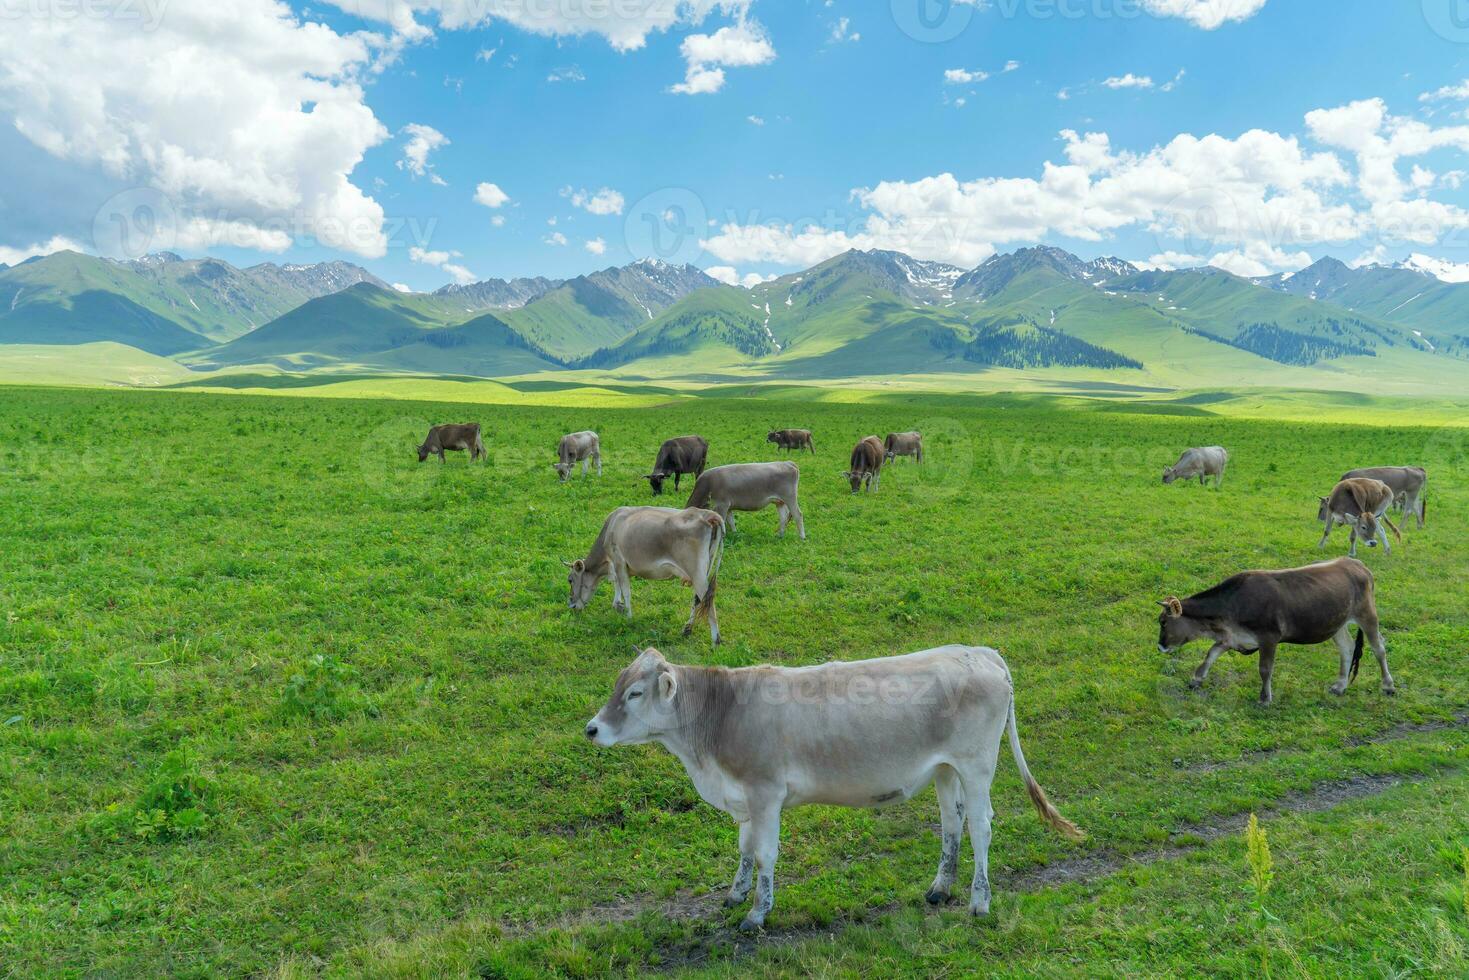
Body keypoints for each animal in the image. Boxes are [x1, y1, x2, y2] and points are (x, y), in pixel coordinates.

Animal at [564, 505, 725, 643]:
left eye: (570, 580)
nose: (571, 605)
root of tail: (707, 515)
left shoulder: (619, 561)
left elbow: (625, 590)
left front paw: (628, 617)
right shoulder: (617, 565)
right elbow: (617, 583)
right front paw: (617, 604)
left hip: (696, 572)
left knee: (708, 601)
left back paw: (715, 640)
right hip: (704, 569)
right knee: (698, 599)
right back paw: (687, 629)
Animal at [581, 646, 1081, 934]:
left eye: (635, 694)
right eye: (617, 685)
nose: (591, 729)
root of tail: (980, 652)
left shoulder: (765, 792)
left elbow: (763, 854)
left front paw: (757, 914)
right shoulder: (744, 795)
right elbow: (743, 848)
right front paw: (735, 895)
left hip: (977, 765)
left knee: (981, 827)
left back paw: (979, 902)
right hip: (945, 768)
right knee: (951, 823)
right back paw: (940, 888)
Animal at [1151, 558, 1392, 705]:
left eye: (1163, 622)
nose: (1160, 646)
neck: (1232, 605)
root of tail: (1356, 563)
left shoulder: (1269, 637)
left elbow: (1265, 669)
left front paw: (1265, 698)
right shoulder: (1231, 637)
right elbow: (1210, 655)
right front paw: (1196, 679)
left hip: (1367, 614)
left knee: (1378, 647)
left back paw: (1388, 686)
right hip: (1337, 623)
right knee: (1346, 648)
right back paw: (1340, 686)